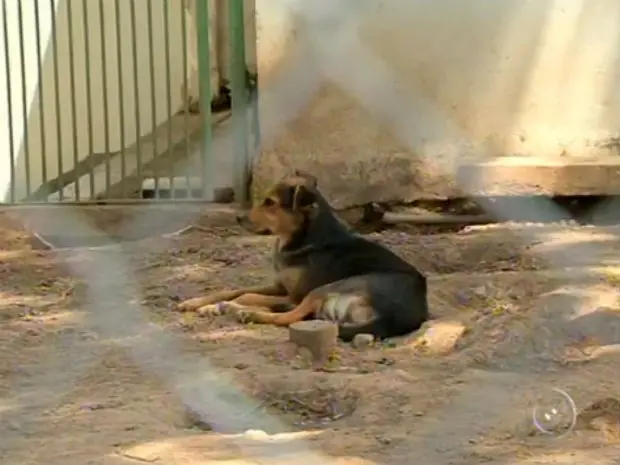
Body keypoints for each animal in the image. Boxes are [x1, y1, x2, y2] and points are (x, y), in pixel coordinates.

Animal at [172, 170, 428, 340]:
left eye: (270, 202)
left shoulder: (293, 295)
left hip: (330, 288)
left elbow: (247, 296)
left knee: (286, 317)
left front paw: (223, 306)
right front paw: (196, 302)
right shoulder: (279, 286)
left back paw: (244, 313)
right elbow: (233, 290)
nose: (238, 218)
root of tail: (394, 318)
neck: (305, 239)